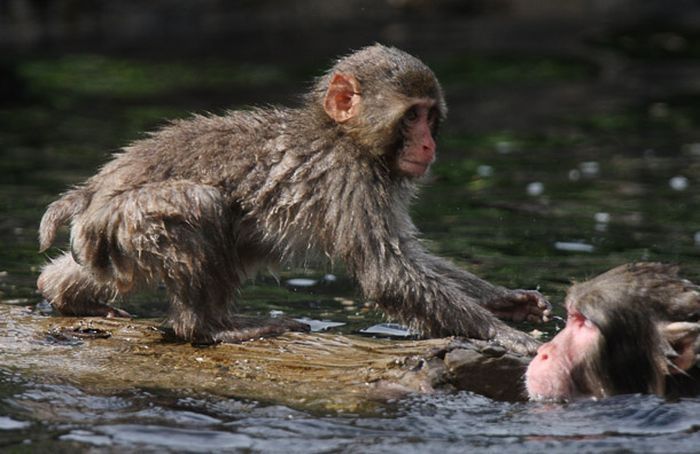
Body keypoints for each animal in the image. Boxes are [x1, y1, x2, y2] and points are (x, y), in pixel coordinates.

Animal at [38, 44, 548, 352]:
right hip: (127, 219)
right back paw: (209, 327)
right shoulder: (350, 178)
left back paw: (64, 293)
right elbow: (387, 274)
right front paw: (504, 333)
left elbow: (412, 257)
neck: (346, 137)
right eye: (411, 117)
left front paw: (507, 301)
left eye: (430, 115)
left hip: (106, 241)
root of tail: (93, 192)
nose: (427, 145)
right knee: (201, 204)